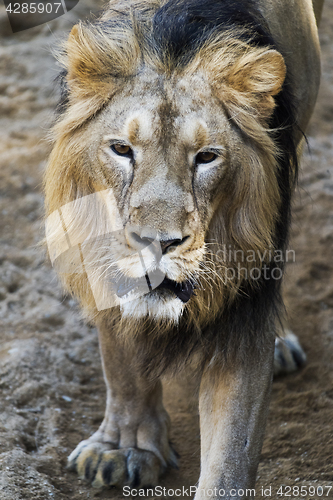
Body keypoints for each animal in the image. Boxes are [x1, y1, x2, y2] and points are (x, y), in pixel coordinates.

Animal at [43, 1, 322, 498]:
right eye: (121, 149)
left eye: (207, 157)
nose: (159, 243)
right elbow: (120, 354)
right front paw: (125, 447)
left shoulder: (243, 308)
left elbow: (231, 450)